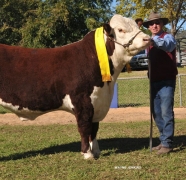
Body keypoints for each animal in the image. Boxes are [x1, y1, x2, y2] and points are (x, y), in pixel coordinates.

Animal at [0, 14, 150, 160]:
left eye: (137, 26)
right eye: (120, 30)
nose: (147, 38)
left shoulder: (97, 101)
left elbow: (94, 128)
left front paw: (96, 151)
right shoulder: (82, 100)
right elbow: (84, 127)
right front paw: (87, 154)